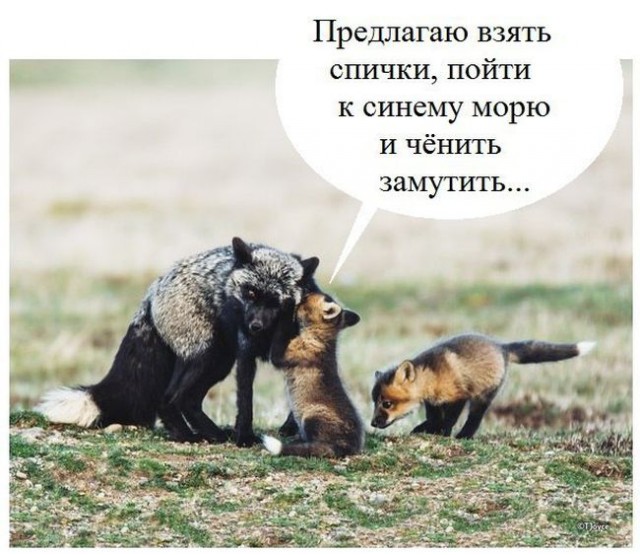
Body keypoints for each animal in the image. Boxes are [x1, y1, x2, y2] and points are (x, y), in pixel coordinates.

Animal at [36, 237, 319, 446]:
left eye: (276, 301)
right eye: (250, 293)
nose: (254, 327)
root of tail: (152, 291)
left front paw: (290, 429)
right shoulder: (245, 355)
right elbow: (246, 402)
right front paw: (245, 438)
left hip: (218, 362)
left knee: (188, 400)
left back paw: (210, 434)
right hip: (206, 355)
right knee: (171, 398)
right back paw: (189, 436)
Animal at [262, 293, 363, 458]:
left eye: (305, 300)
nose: (300, 295)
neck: (317, 338)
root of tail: (348, 447)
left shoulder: (282, 355)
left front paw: (287, 306)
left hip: (311, 417)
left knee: (317, 445)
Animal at [370, 333, 595, 439]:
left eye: (387, 403)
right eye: (374, 402)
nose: (373, 423)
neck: (432, 375)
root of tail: (502, 347)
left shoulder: (459, 396)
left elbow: (448, 420)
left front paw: (442, 434)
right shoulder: (433, 402)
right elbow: (434, 419)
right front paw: (425, 430)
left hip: (482, 397)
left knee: (475, 419)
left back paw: (464, 436)